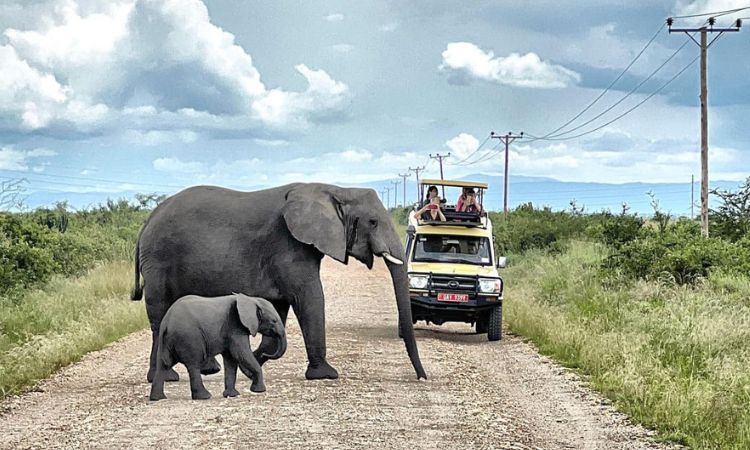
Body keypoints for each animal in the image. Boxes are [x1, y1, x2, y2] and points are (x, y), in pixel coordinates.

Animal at [132, 183, 427, 383]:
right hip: (159, 260)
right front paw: (326, 375)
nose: (422, 378)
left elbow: (280, 306)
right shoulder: (289, 246)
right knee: (159, 317)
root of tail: (147, 220)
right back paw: (165, 378)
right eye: (373, 221)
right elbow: (310, 298)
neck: (336, 189)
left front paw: (255, 362)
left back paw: (208, 370)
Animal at [149, 293, 286, 401]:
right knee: (193, 365)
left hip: (168, 341)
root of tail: (166, 323)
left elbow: (231, 359)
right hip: (189, 337)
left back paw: (158, 398)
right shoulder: (235, 327)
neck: (250, 299)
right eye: (274, 321)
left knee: (163, 365)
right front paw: (259, 391)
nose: (264, 354)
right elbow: (241, 353)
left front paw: (232, 395)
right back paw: (204, 397)